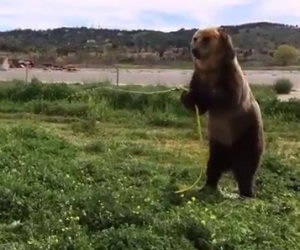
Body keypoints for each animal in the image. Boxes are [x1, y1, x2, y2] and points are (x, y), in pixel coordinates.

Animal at [180, 27, 262, 197]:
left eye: (206, 39)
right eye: (195, 38)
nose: (194, 49)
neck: (211, 69)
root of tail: (230, 161)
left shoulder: (230, 75)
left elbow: (227, 98)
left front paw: (197, 94)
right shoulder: (198, 76)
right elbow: (200, 107)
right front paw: (186, 95)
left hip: (247, 135)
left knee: (246, 167)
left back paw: (247, 193)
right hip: (219, 143)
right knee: (214, 165)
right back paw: (208, 186)